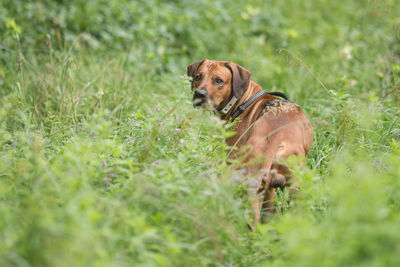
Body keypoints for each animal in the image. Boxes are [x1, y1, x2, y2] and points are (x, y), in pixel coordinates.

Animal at [186, 59, 314, 227]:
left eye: (219, 80)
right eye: (198, 77)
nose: (199, 94)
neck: (244, 100)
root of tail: (277, 135)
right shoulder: (270, 186)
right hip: (293, 186)